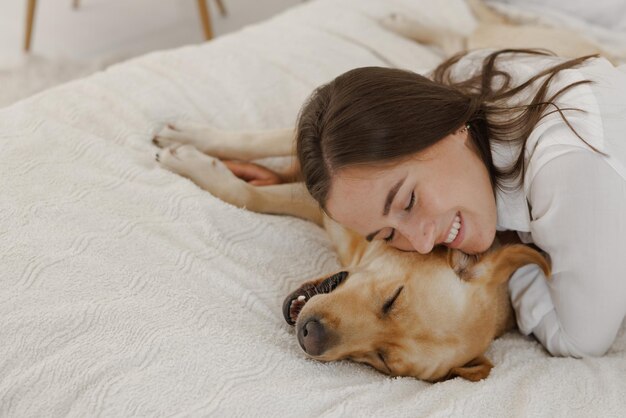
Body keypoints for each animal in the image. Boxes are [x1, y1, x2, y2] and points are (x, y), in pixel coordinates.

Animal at [151, 125, 544, 382]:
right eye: (393, 298)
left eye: (383, 361)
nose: (310, 335)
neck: (359, 249)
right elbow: (254, 148)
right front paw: (185, 147)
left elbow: (249, 194)